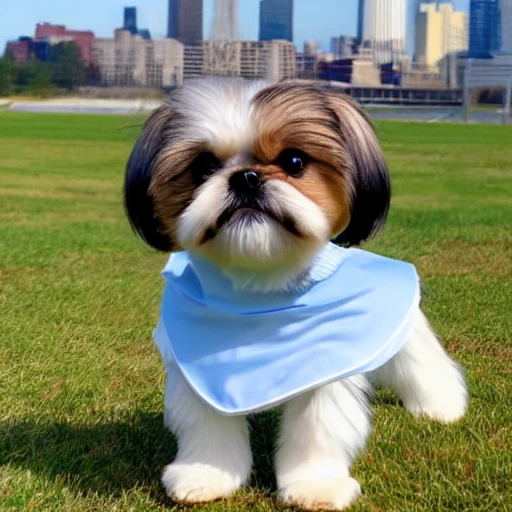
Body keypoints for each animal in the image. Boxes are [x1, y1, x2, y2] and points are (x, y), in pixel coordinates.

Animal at [125, 80, 468, 508]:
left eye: (294, 162)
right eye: (202, 167)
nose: (246, 177)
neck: (262, 288)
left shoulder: (325, 366)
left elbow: (317, 429)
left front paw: (315, 485)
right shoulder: (198, 374)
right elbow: (206, 427)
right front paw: (205, 475)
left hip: (407, 335)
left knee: (424, 365)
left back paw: (442, 407)